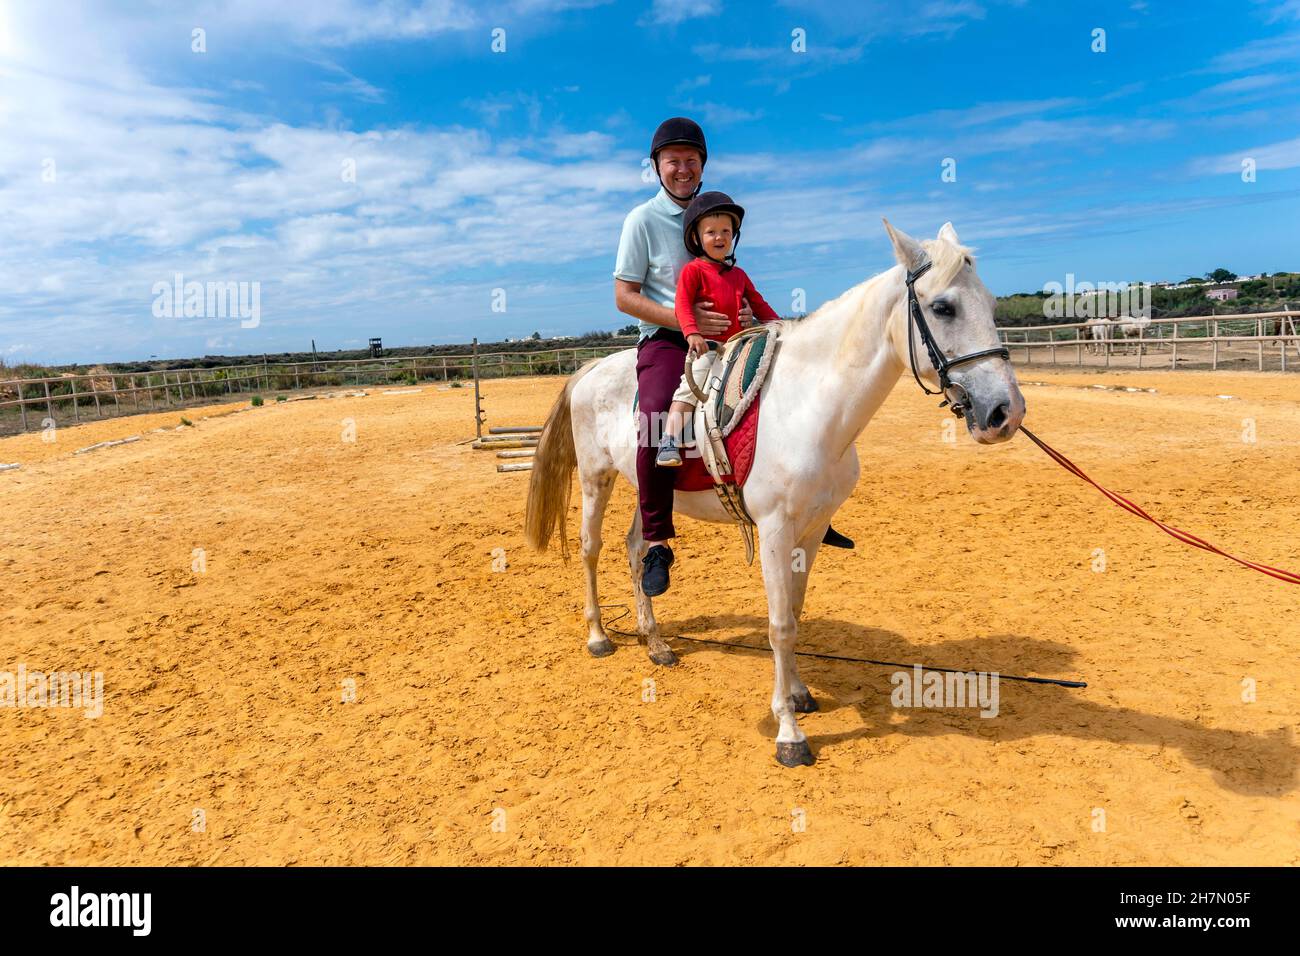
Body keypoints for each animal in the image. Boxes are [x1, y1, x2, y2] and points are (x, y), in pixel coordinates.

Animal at [520, 221, 1024, 764]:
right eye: (943, 307)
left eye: (992, 304)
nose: (1006, 411)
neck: (810, 405)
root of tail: (590, 369)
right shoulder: (775, 531)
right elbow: (779, 624)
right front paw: (789, 733)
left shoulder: (813, 528)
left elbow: (795, 614)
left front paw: (800, 695)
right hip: (597, 478)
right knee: (590, 549)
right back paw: (598, 636)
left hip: (646, 490)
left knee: (637, 549)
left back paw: (654, 641)